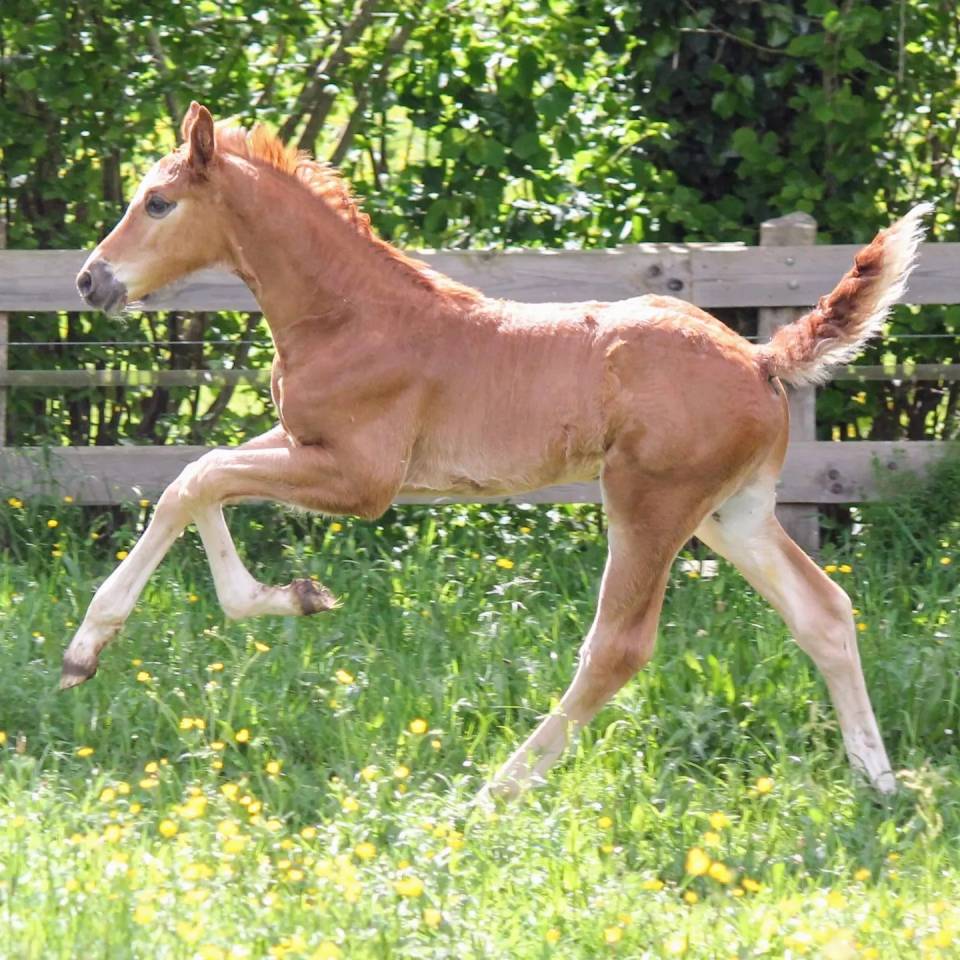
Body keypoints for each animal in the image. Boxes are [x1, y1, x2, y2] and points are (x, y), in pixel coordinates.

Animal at [64, 101, 930, 800]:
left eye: (158, 201)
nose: (89, 281)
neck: (350, 314)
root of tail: (761, 358)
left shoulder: (359, 479)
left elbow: (196, 478)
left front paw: (85, 651)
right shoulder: (301, 441)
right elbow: (194, 480)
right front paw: (292, 597)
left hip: (651, 503)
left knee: (617, 648)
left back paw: (492, 793)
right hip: (732, 513)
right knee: (823, 612)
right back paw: (881, 784)